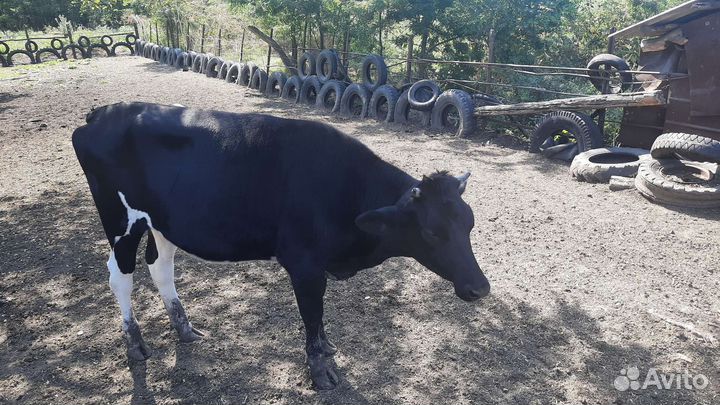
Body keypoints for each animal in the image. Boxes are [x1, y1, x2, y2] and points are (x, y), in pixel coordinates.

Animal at [72, 102, 490, 390]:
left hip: (163, 222)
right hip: (120, 219)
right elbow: (312, 314)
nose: (480, 288)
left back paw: (185, 328)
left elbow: (319, 318)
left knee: (160, 266)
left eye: (470, 223)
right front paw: (321, 369)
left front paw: (328, 348)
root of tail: (103, 113)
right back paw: (135, 345)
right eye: (432, 232)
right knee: (120, 276)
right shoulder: (304, 264)